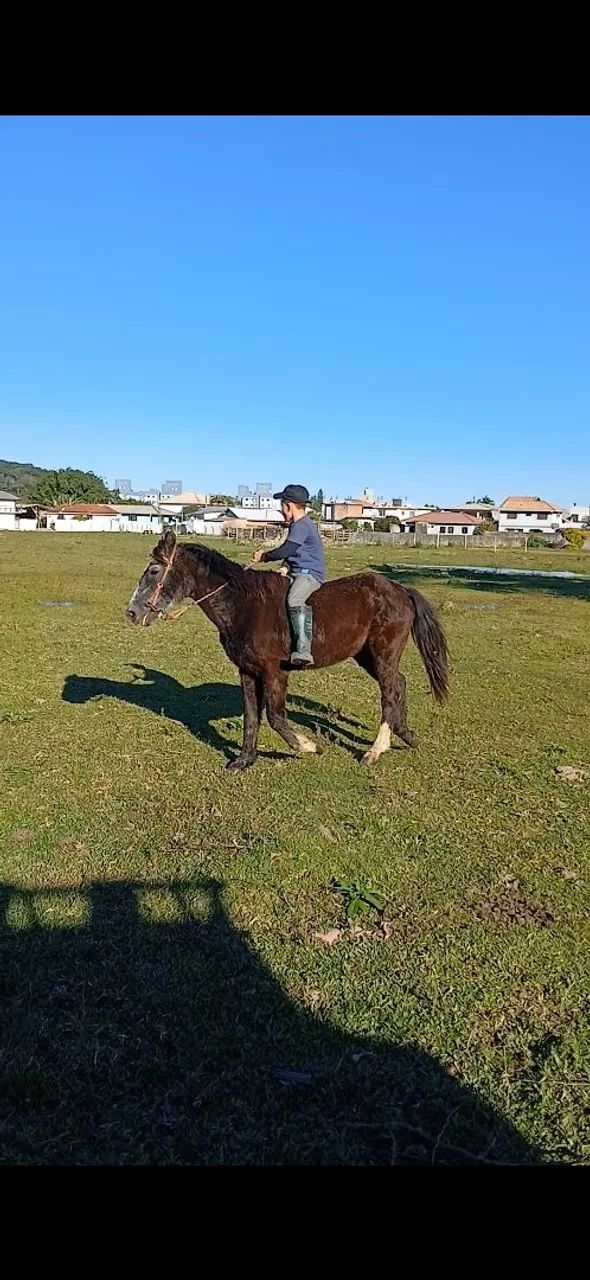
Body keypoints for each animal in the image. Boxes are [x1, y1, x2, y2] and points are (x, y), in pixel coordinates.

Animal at [125, 530, 449, 771]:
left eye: (154, 570)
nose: (131, 612)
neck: (244, 606)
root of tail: (400, 589)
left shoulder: (274, 672)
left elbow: (275, 717)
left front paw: (309, 746)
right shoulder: (247, 671)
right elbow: (252, 717)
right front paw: (244, 761)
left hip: (383, 652)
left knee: (389, 691)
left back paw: (376, 750)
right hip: (366, 655)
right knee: (399, 684)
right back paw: (406, 736)